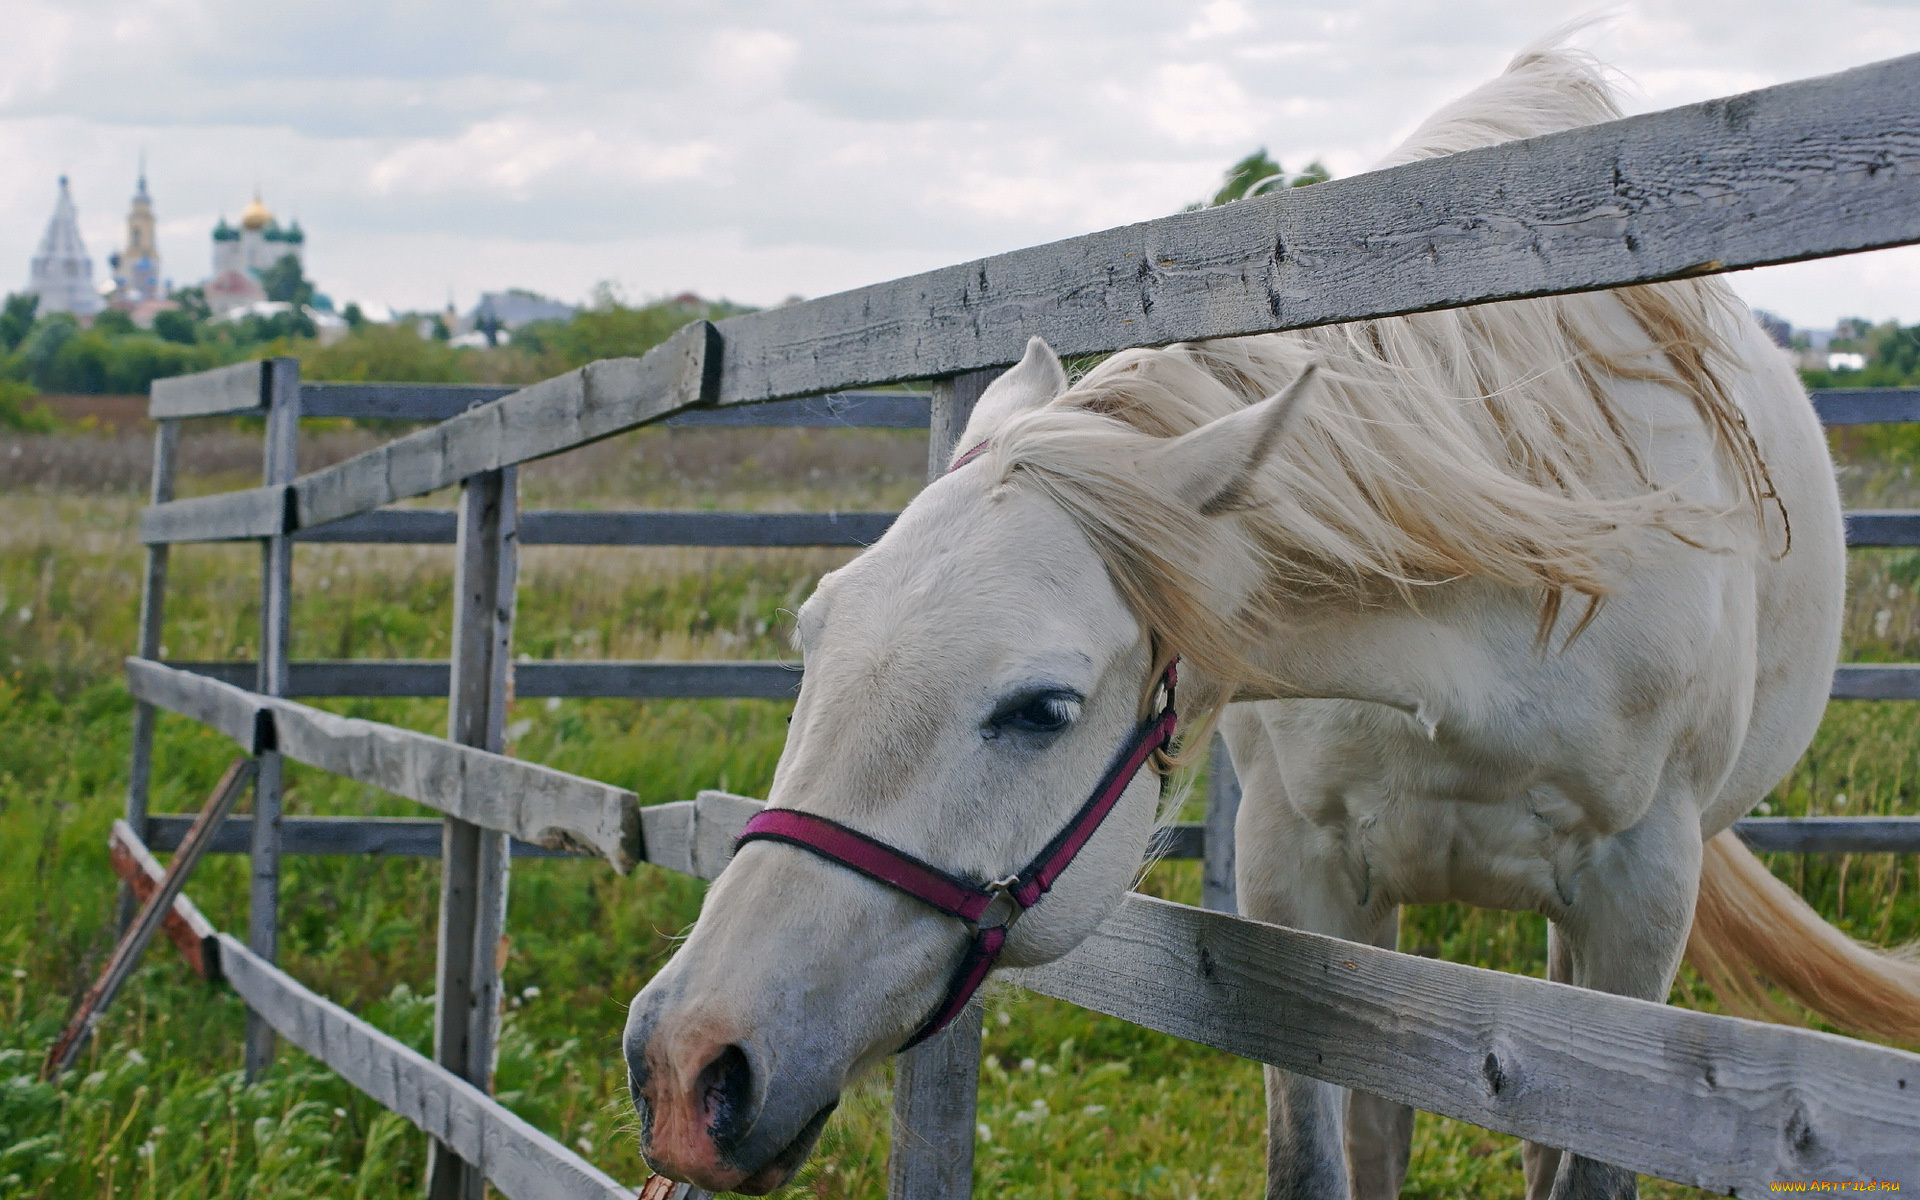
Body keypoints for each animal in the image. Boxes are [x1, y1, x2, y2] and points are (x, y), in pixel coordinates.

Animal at [622, 42, 1912, 1190]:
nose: (686, 1065)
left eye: (1040, 709)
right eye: (813, 641)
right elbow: (1318, 1157)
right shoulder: (1301, 877)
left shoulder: (1637, 919)